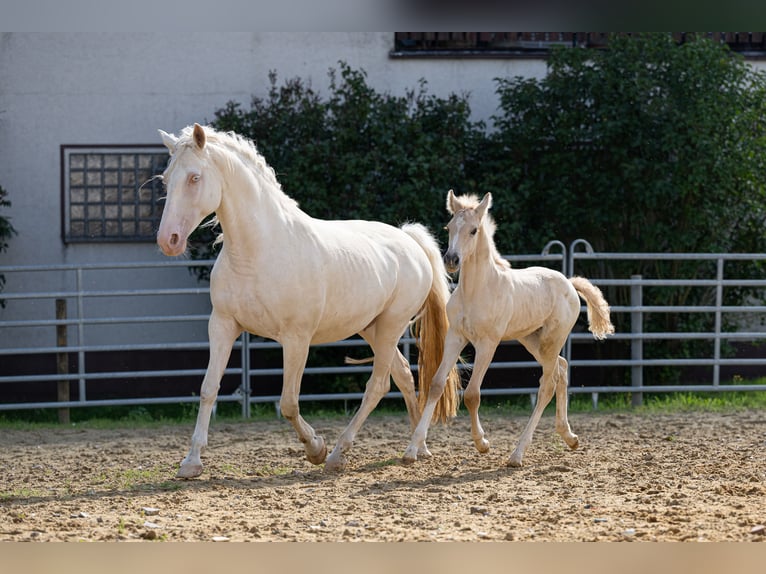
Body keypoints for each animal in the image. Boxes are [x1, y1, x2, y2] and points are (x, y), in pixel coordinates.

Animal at [153, 122, 460, 476]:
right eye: (166, 179)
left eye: (194, 177)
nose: (169, 240)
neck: (258, 250)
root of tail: (410, 241)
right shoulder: (223, 326)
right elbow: (207, 389)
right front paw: (191, 462)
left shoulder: (296, 338)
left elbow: (288, 402)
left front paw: (316, 449)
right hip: (372, 328)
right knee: (404, 375)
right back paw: (416, 446)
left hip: (390, 327)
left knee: (378, 385)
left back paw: (339, 453)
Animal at [404, 191, 616, 470]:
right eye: (448, 227)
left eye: (473, 230)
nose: (451, 260)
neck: (477, 290)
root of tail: (569, 283)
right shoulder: (456, 337)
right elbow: (436, 384)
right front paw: (412, 449)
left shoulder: (487, 343)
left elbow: (472, 394)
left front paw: (482, 443)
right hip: (532, 339)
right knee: (561, 367)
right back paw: (569, 437)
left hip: (551, 339)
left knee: (547, 384)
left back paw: (517, 454)